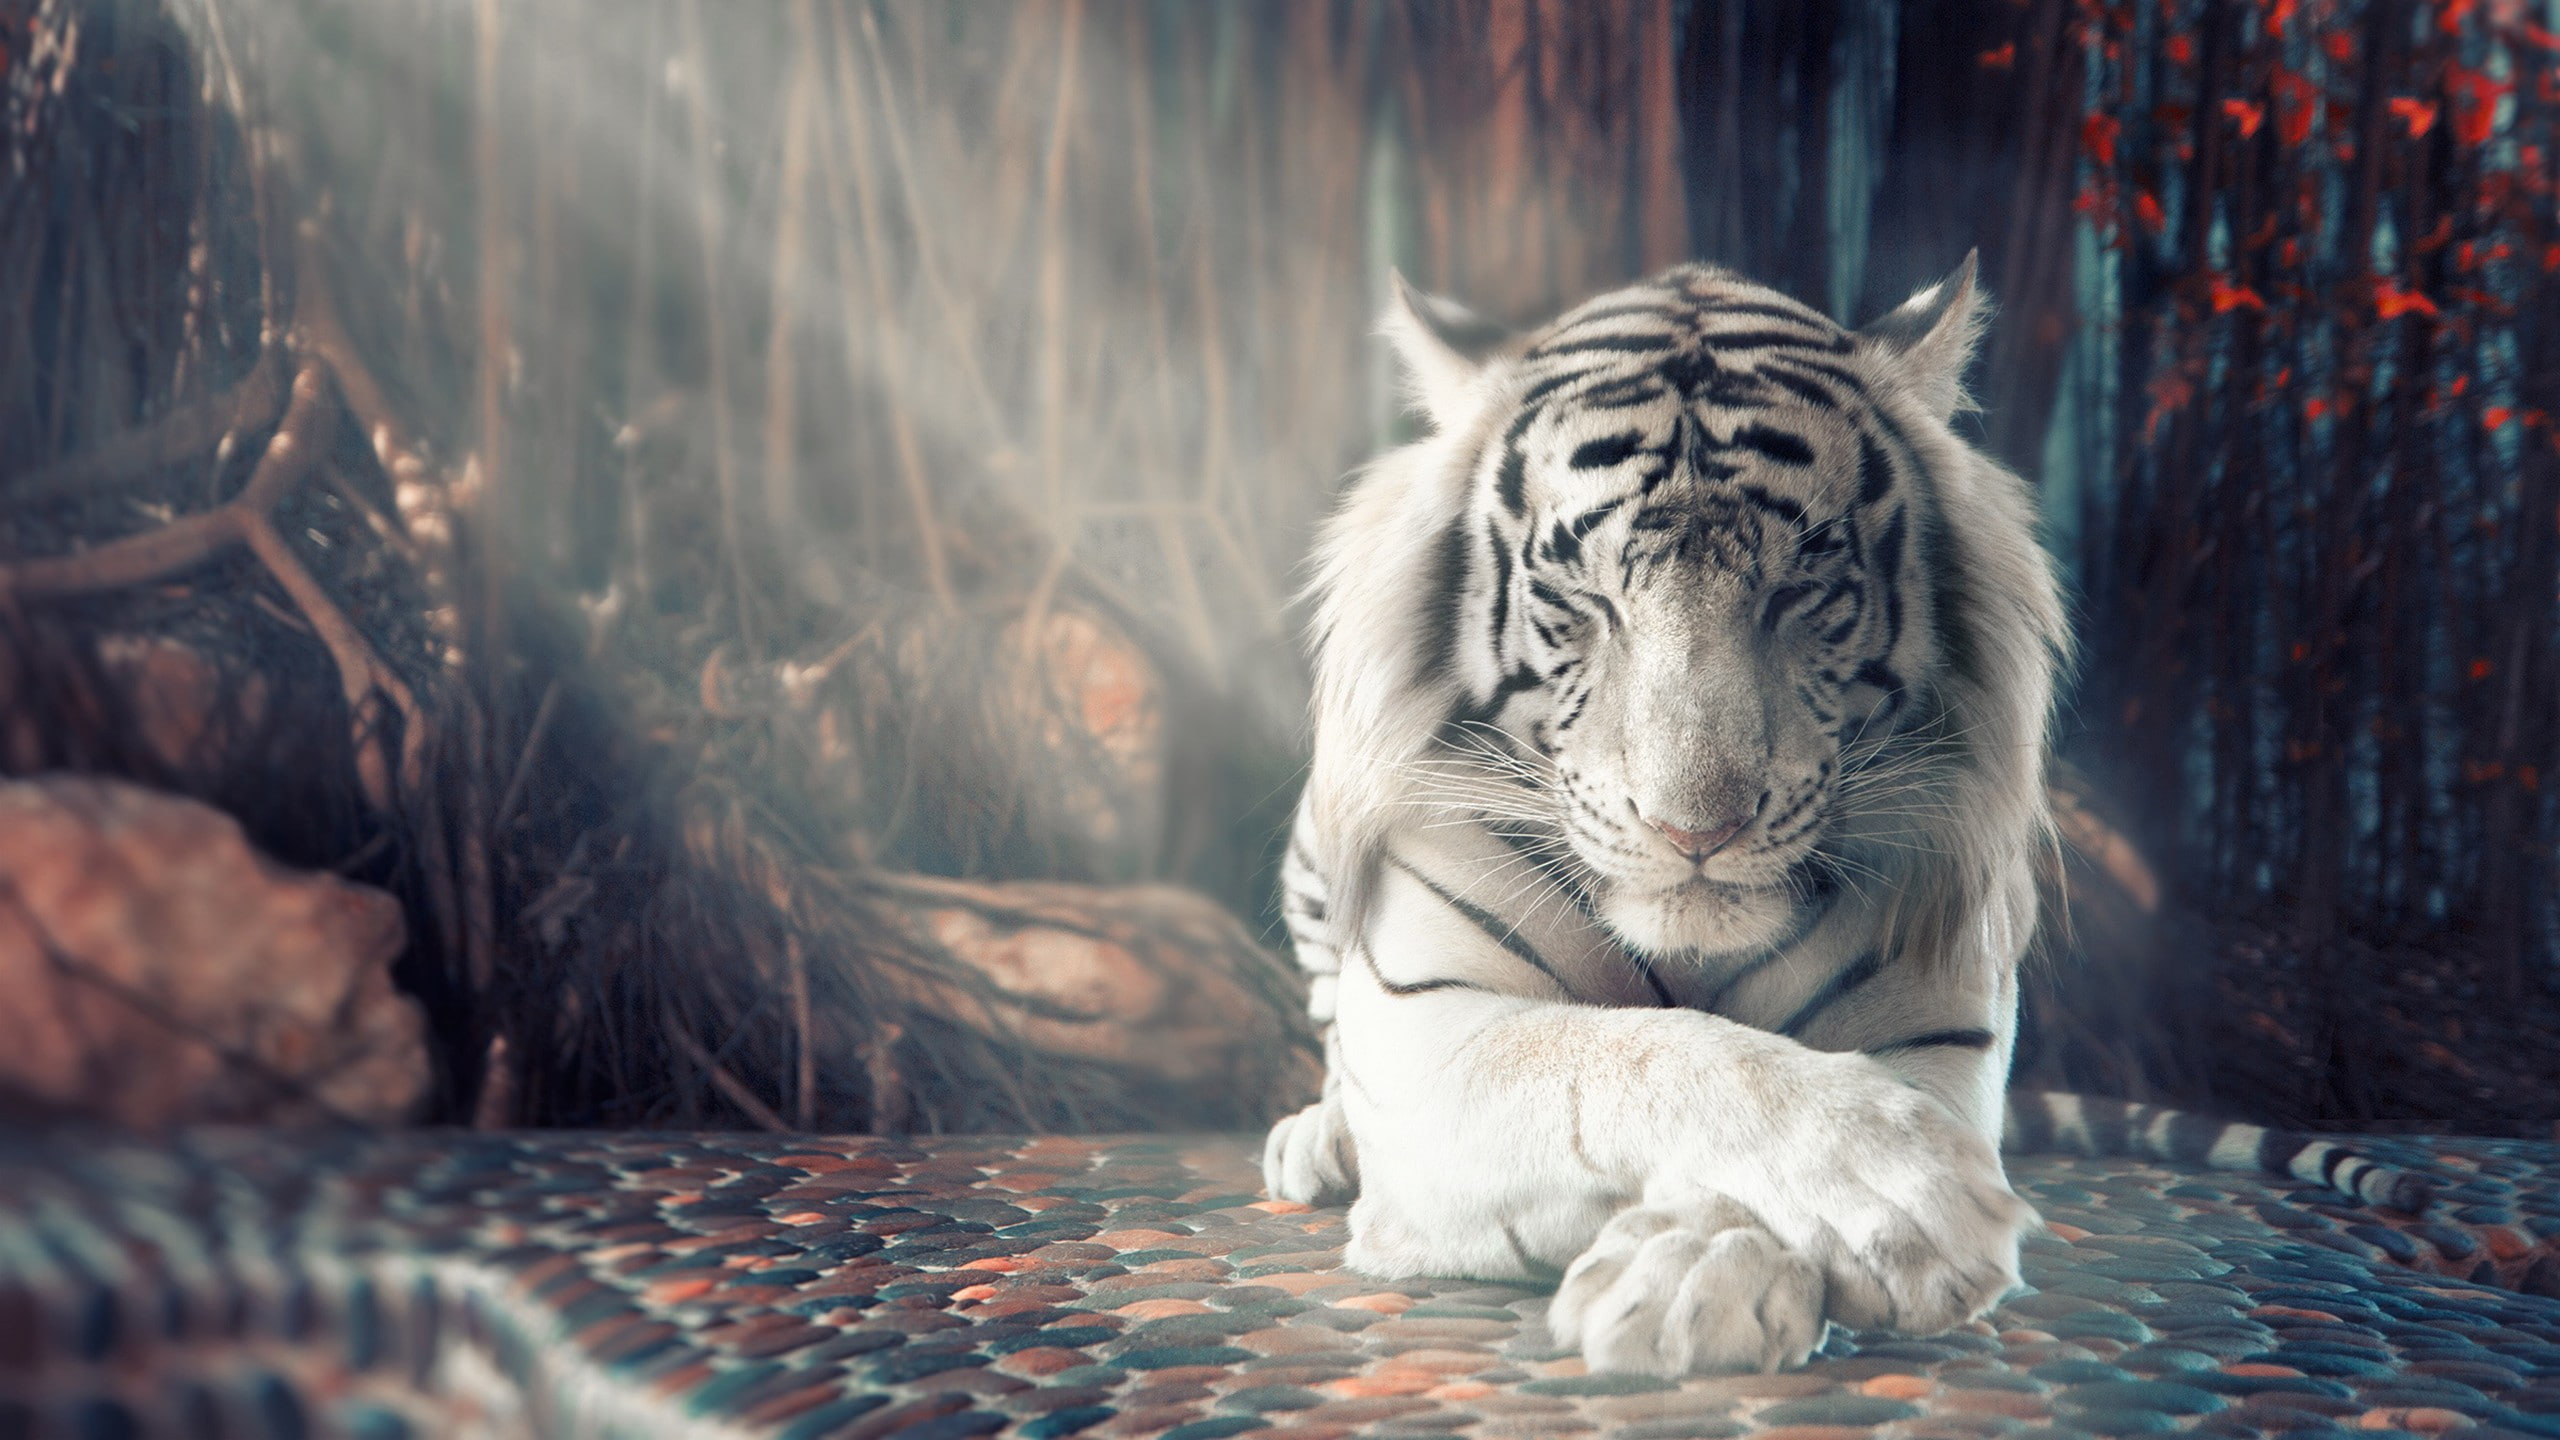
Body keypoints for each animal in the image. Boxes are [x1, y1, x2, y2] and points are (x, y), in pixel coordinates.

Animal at [1260, 255, 2430, 1378]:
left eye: (1799, 591)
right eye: (1582, 599)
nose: (1695, 832)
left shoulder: (1939, 1025)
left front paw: (1696, 1276)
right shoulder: (1431, 1032)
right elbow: (1645, 1055)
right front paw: (1902, 1194)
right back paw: (1317, 1140)